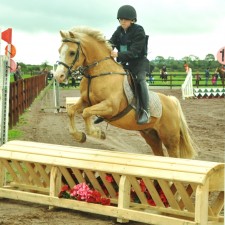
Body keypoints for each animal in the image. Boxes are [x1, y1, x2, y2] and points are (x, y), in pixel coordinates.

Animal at [53, 26, 196, 158]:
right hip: (151, 136)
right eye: (59, 50)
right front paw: (80, 136)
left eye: (72, 52)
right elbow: (72, 111)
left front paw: (98, 134)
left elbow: (86, 112)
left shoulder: (110, 107)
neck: (96, 75)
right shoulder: (86, 101)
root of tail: (171, 101)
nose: (58, 76)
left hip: (170, 139)